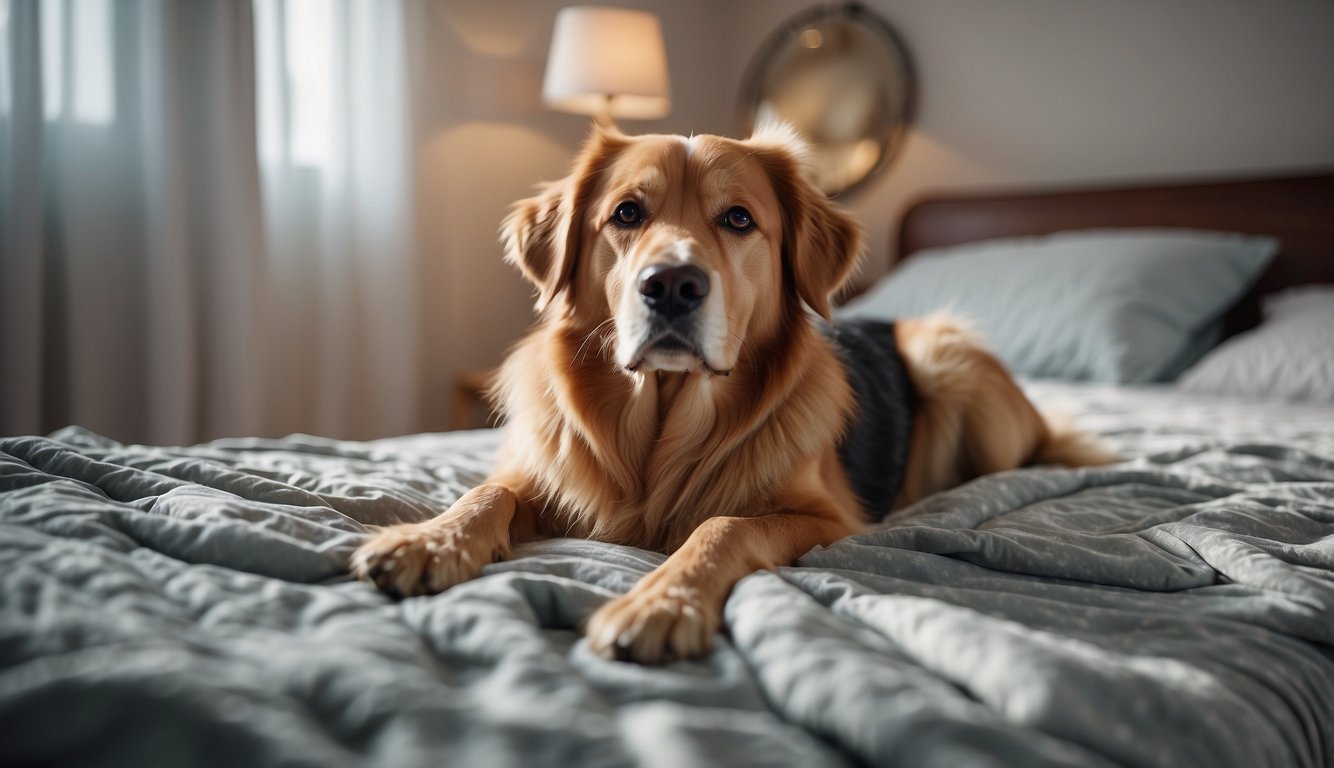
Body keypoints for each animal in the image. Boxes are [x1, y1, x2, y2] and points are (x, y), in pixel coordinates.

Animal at [349, 122, 1109, 664]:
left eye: (739, 219)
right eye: (627, 213)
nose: (671, 285)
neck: (663, 418)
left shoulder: (827, 519)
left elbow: (722, 526)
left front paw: (663, 603)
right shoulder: (542, 473)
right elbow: (486, 492)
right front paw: (430, 540)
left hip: (945, 357)